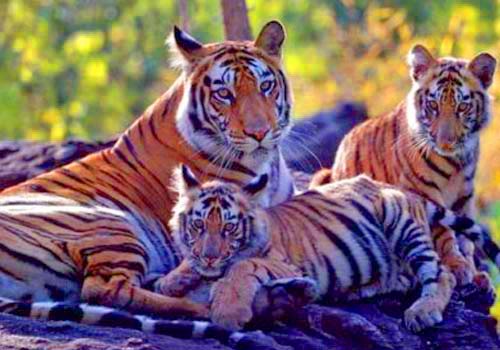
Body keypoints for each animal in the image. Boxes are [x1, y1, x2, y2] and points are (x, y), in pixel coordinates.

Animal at [0, 21, 298, 336]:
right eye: (224, 94)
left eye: (265, 87)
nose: (259, 133)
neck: (268, 163)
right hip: (110, 226)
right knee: (106, 290)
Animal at [155, 165, 500, 332]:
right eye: (199, 225)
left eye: (228, 228)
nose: (210, 256)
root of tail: (401, 189)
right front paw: (171, 280)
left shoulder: (283, 262)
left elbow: (242, 266)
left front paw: (229, 311)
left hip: (401, 224)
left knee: (442, 275)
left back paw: (422, 312)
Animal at [314, 45, 498, 288]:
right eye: (433, 105)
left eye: (463, 107)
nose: (445, 142)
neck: (456, 163)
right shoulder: (423, 192)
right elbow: (444, 232)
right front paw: (458, 266)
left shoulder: (464, 197)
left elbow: (466, 236)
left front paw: (476, 274)